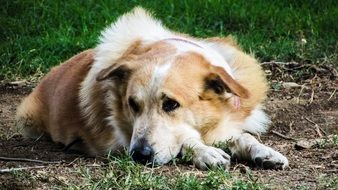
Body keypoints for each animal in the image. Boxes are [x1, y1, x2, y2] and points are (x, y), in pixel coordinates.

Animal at [16, 7, 288, 170]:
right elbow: (186, 140)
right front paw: (205, 152)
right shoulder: (124, 139)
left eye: (171, 104)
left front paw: (264, 151)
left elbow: (243, 135)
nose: (140, 155)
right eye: (132, 105)